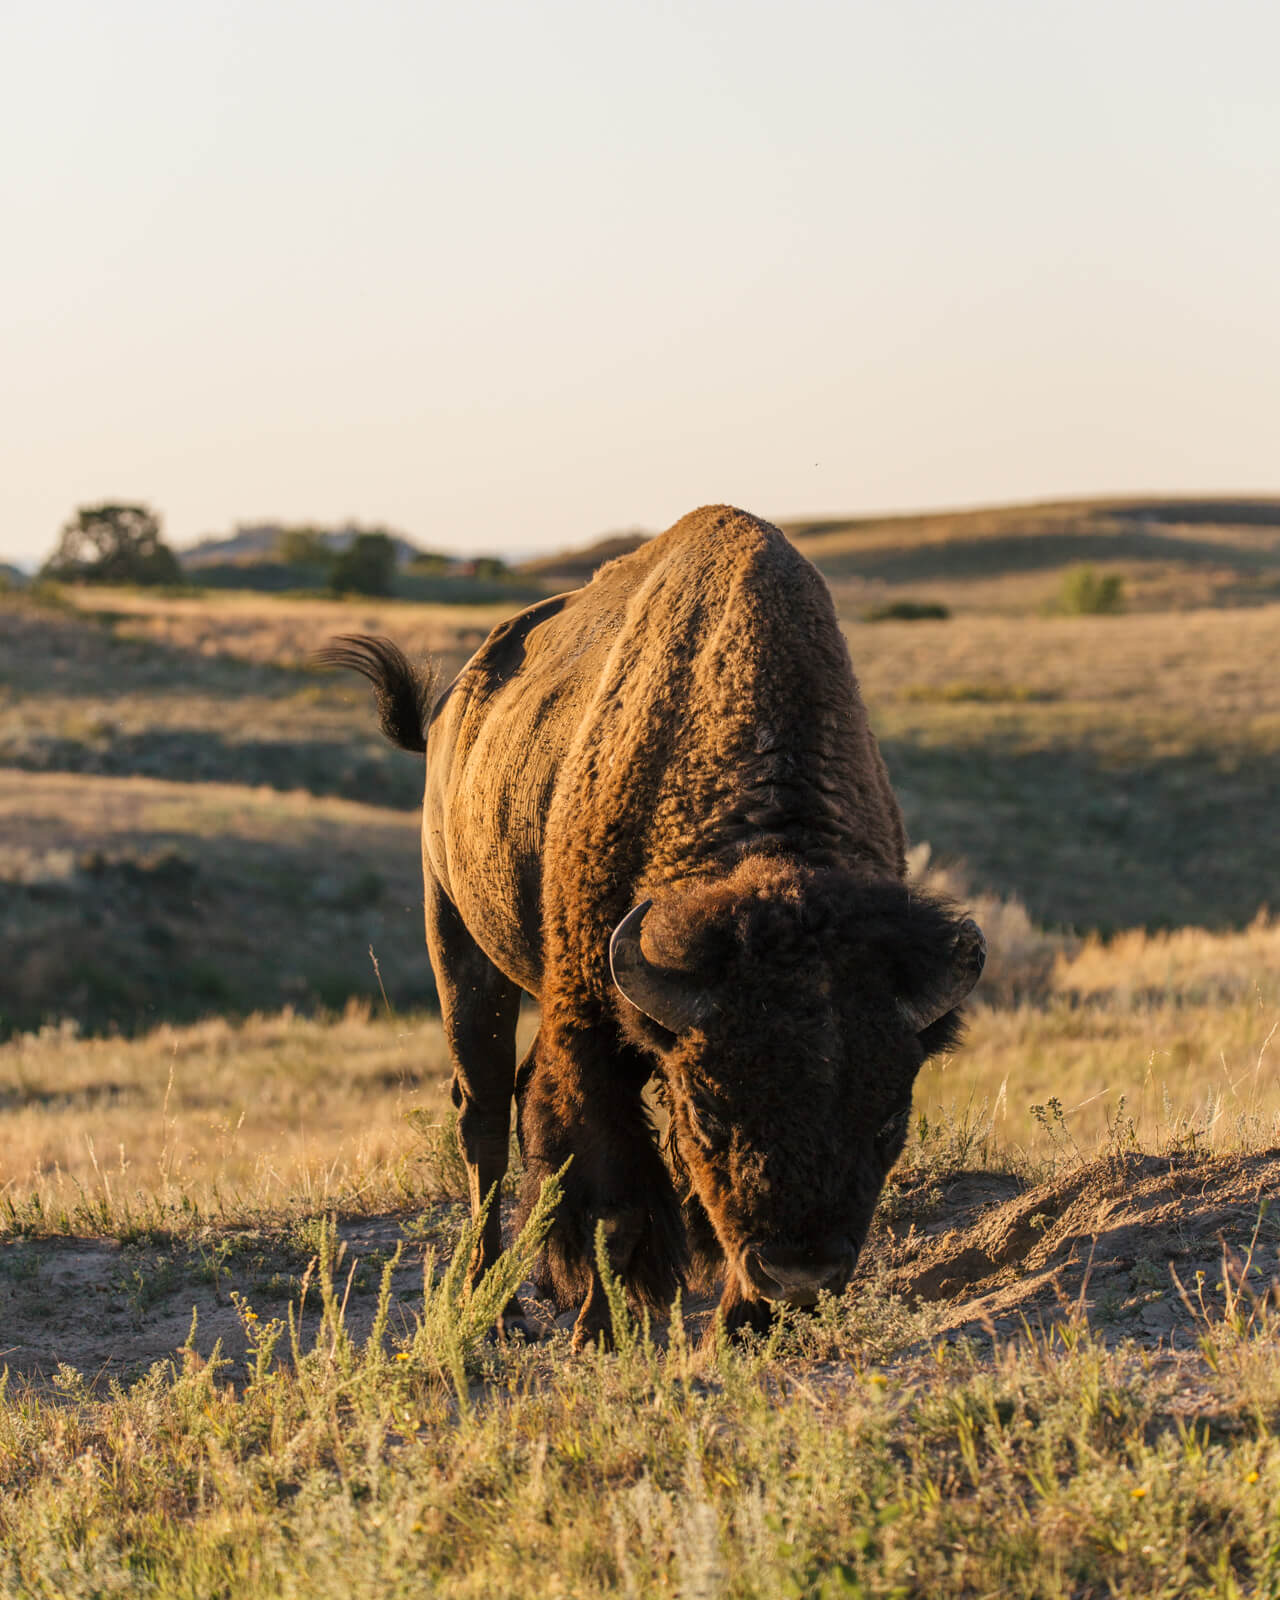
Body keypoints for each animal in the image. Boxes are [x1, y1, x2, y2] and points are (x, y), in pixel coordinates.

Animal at [316, 505, 979, 1344]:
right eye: (710, 1112)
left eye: (892, 1116)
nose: (800, 1277)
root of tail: (454, 707)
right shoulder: (592, 1016)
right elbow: (615, 1182)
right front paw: (602, 1327)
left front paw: (738, 1319)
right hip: (458, 939)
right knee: (484, 1117)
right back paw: (495, 1306)